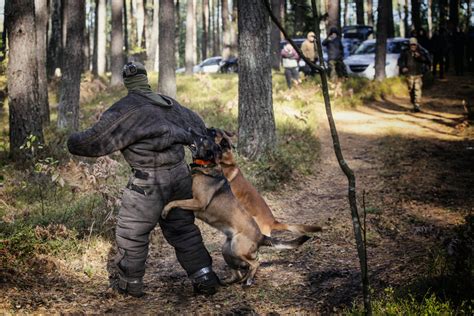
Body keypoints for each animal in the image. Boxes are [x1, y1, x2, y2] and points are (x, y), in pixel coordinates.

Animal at [162, 131, 312, 286]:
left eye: (203, 139)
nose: (190, 130)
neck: (207, 166)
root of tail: (261, 236)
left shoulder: (198, 202)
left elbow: (175, 201)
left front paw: (165, 209)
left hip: (237, 248)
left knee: (255, 262)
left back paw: (249, 280)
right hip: (227, 250)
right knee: (238, 272)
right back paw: (230, 281)